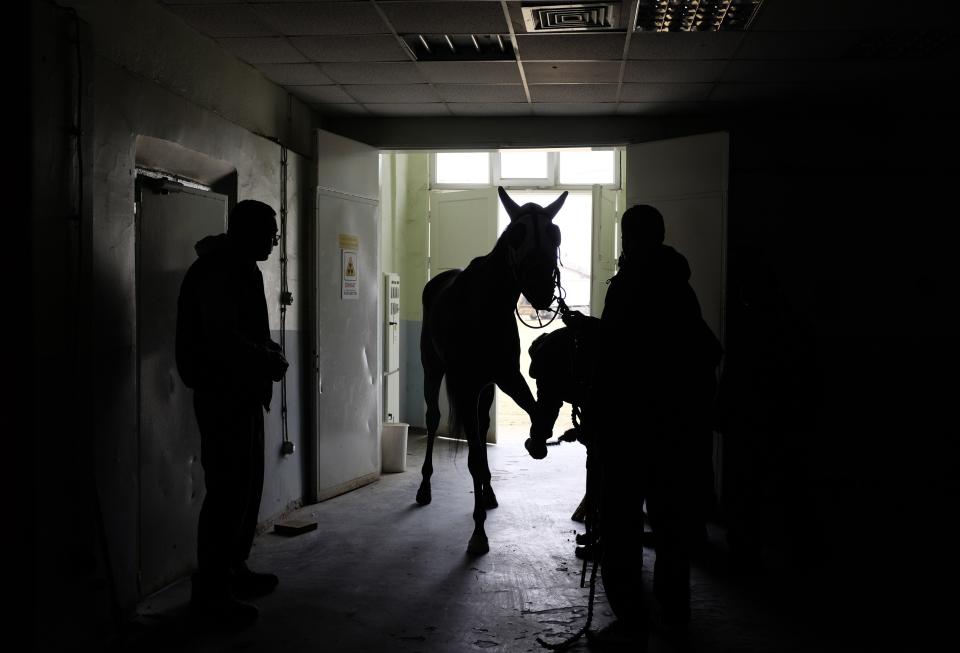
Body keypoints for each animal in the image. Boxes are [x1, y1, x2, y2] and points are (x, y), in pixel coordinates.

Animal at [416, 186, 568, 552]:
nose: (541, 288)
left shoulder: (505, 377)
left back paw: (488, 492)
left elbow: (535, 412)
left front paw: (538, 439)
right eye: (516, 235)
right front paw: (478, 533)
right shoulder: (467, 385)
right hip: (434, 371)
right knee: (433, 420)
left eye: (555, 234)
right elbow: (472, 457)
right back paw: (425, 487)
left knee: (483, 429)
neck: (486, 304)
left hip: (485, 390)